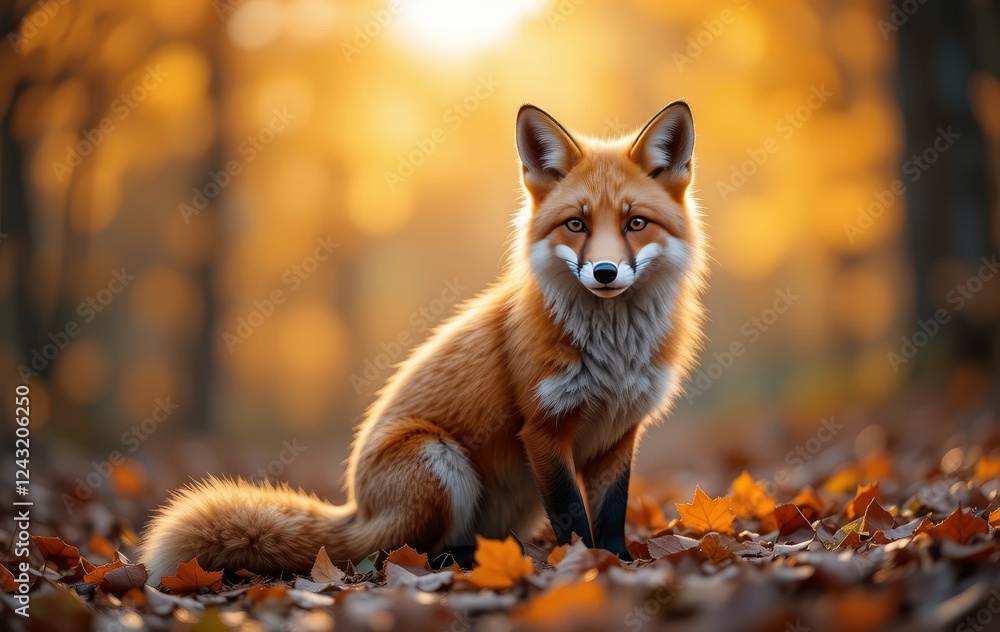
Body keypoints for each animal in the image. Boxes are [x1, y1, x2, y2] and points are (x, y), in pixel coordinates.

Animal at [139, 102, 708, 584]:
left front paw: (616, 562)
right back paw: (465, 559)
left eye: (636, 222)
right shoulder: (544, 431)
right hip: (439, 461)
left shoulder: (620, 433)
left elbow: (610, 516)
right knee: (405, 552)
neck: (614, 354)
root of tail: (359, 509)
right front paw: (582, 565)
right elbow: (573, 519)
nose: (605, 272)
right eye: (576, 224)